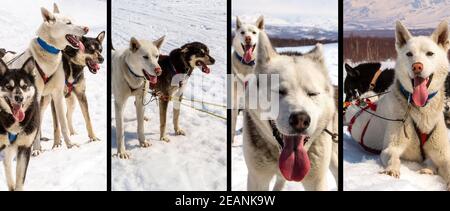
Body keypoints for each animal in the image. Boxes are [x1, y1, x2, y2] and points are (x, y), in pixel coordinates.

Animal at [4, 3, 89, 155]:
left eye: (74, 20)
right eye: (68, 23)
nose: (86, 28)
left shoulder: (58, 95)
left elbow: (63, 123)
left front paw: (69, 144)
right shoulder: (36, 98)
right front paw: (36, 149)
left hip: (45, 101)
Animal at [344, 21, 450, 190]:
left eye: (430, 53)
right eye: (409, 54)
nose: (417, 66)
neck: (421, 112)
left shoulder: (443, 154)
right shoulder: (391, 147)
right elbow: (393, 157)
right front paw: (391, 171)